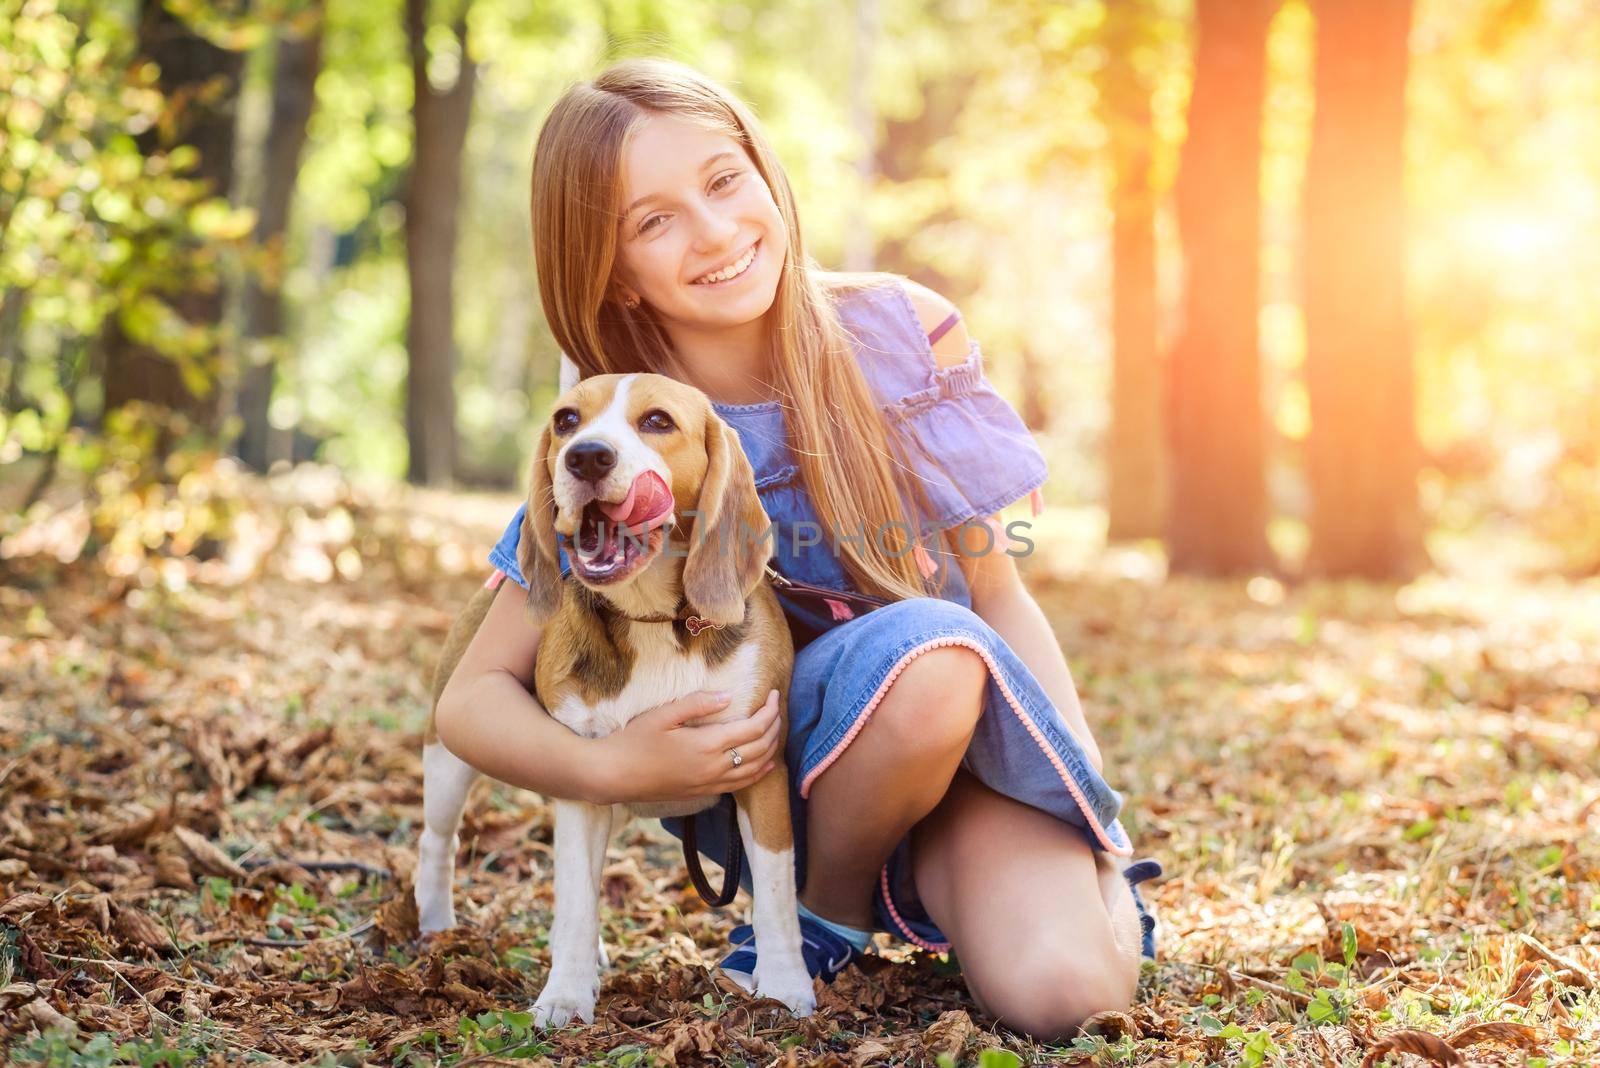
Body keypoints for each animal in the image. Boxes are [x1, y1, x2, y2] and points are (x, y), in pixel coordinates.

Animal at [416, 369, 812, 1023]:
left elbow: (778, 897)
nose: (586, 457)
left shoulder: (762, 768)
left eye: (656, 421)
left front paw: (785, 986)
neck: (653, 619)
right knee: (437, 842)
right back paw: (434, 925)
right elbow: (577, 902)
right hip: (449, 757)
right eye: (566, 421)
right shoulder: (584, 778)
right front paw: (565, 997)